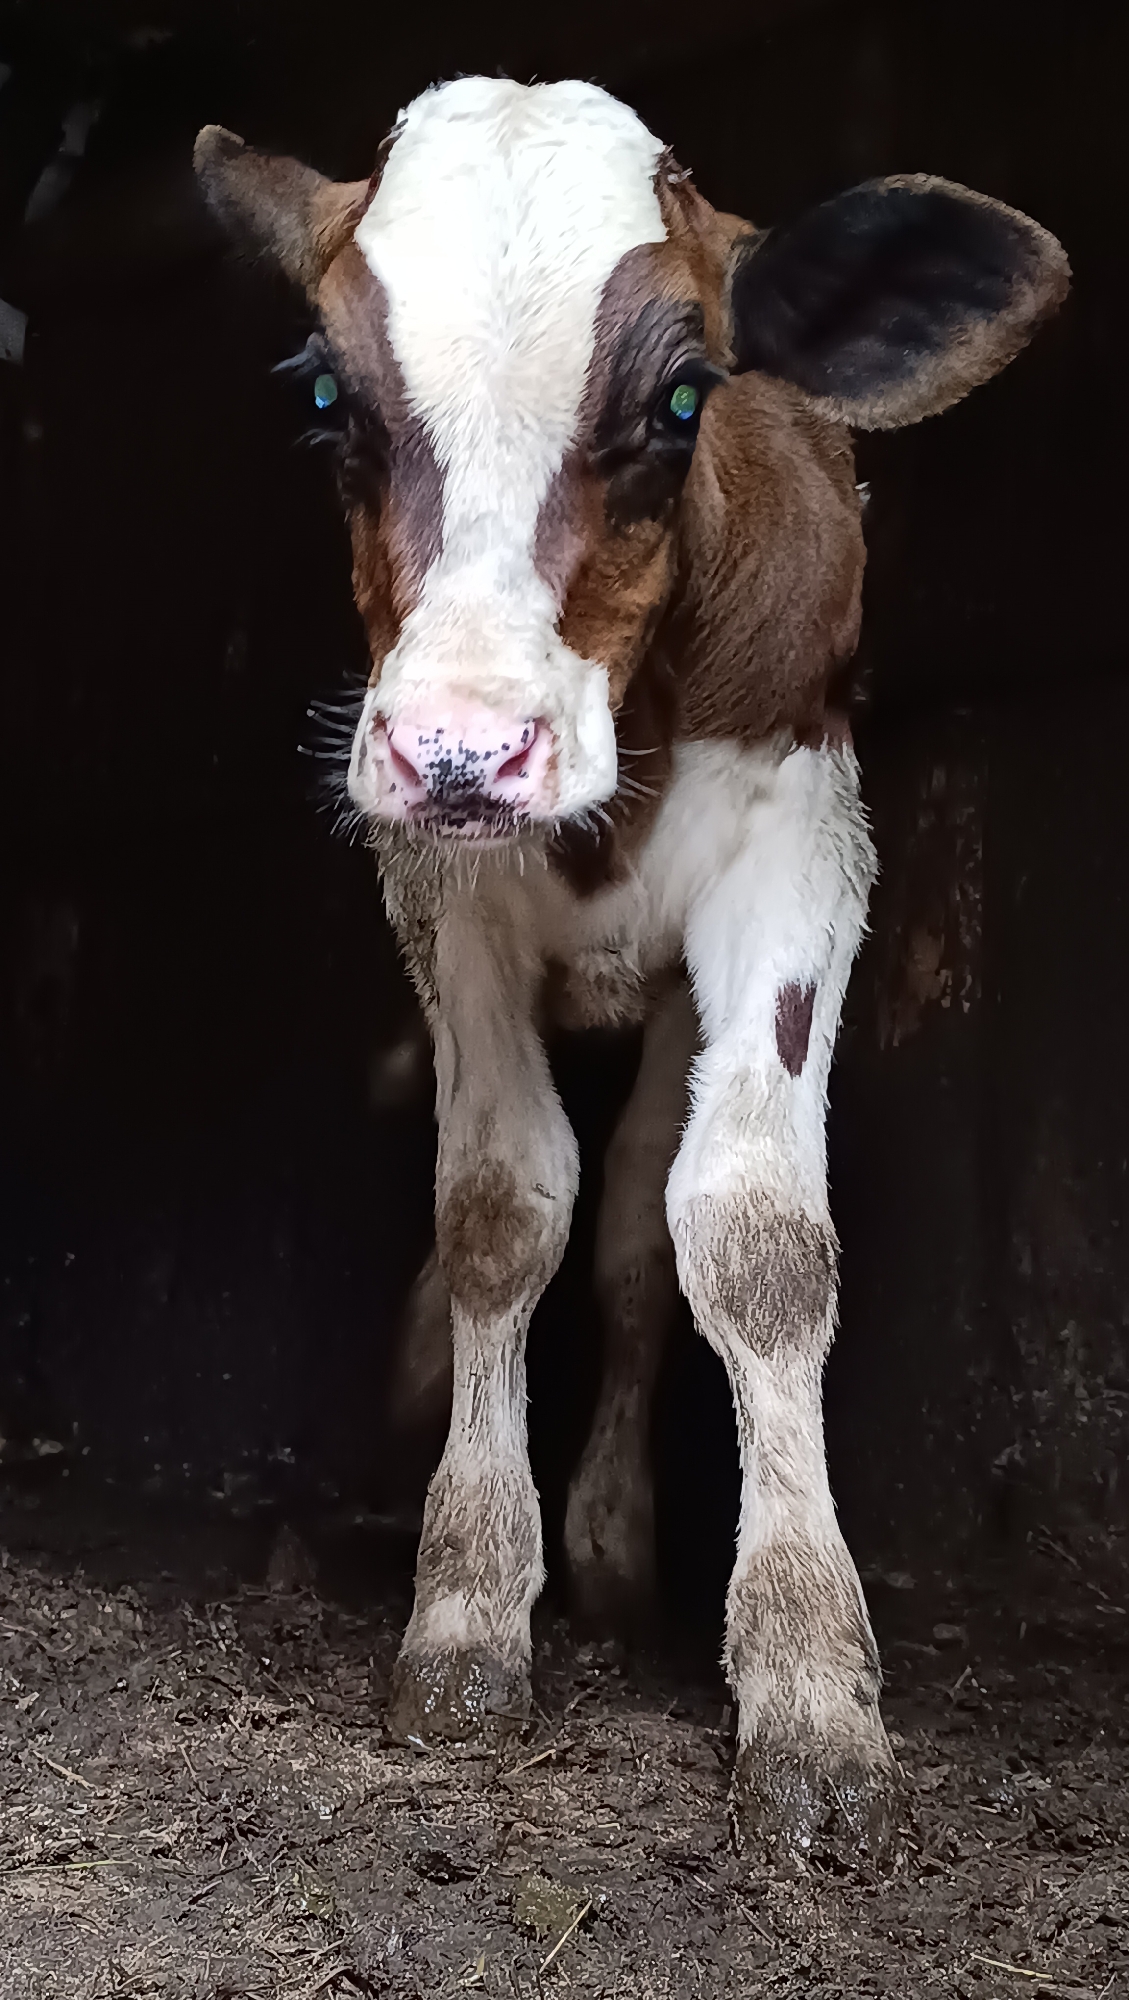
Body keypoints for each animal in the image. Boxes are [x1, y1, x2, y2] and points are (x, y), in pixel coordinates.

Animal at [195, 76, 1067, 1863]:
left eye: (680, 399)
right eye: (325, 396)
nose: (463, 748)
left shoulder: (799, 842)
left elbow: (745, 1238)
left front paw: (808, 1685)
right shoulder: (439, 883)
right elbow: (497, 1208)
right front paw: (466, 1605)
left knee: (642, 1241)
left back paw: (608, 1547)